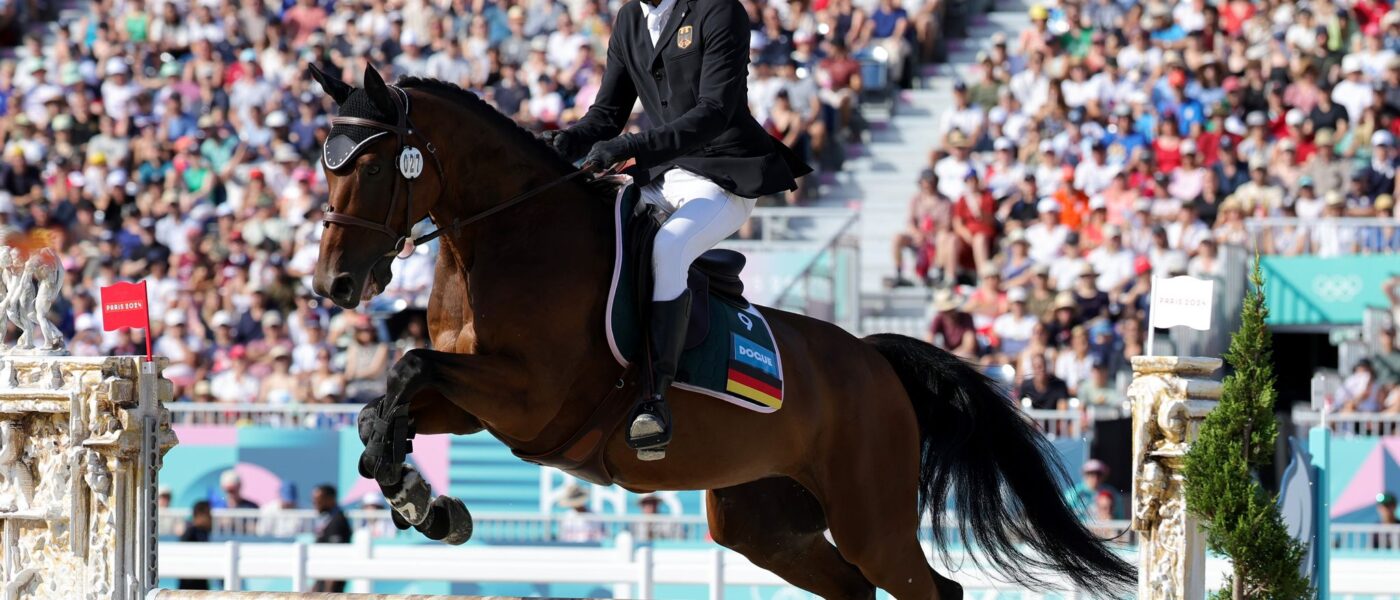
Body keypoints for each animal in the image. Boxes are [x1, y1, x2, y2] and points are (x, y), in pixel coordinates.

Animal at [309, 63, 1136, 595]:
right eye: (324, 166)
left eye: (375, 167)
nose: (334, 287)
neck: (505, 238)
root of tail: (874, 361)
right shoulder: (480, 402)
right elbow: (385, 401)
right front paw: (416, 495)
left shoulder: (528, 397)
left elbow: (408, 365)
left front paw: (417, 497)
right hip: (764, 524)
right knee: (852, 588)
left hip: (870, 519)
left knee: (929, 588)